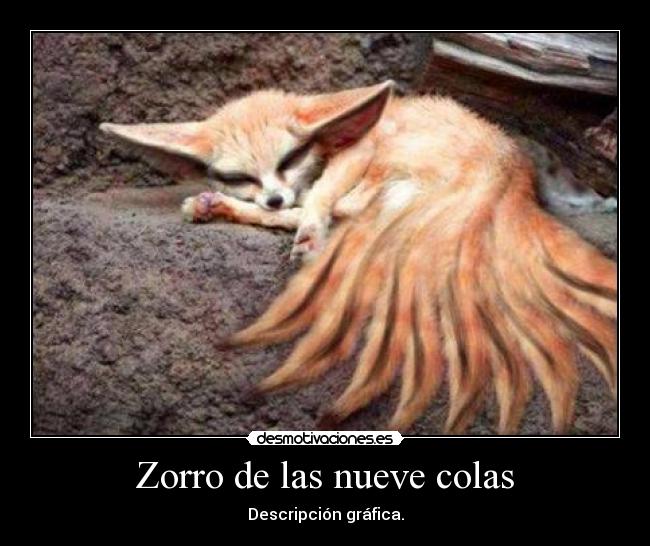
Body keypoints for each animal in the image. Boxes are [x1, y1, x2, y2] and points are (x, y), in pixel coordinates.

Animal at [100, 80, 617, 434]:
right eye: (240, 175)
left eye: (288, 159)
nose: (271, 197)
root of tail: (509, 176)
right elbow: (311, 203)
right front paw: (233, 202)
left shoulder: (360, 149)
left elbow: (321, 198)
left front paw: (306, 228)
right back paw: (223, 208)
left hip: (394, 161)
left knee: (352, 209)